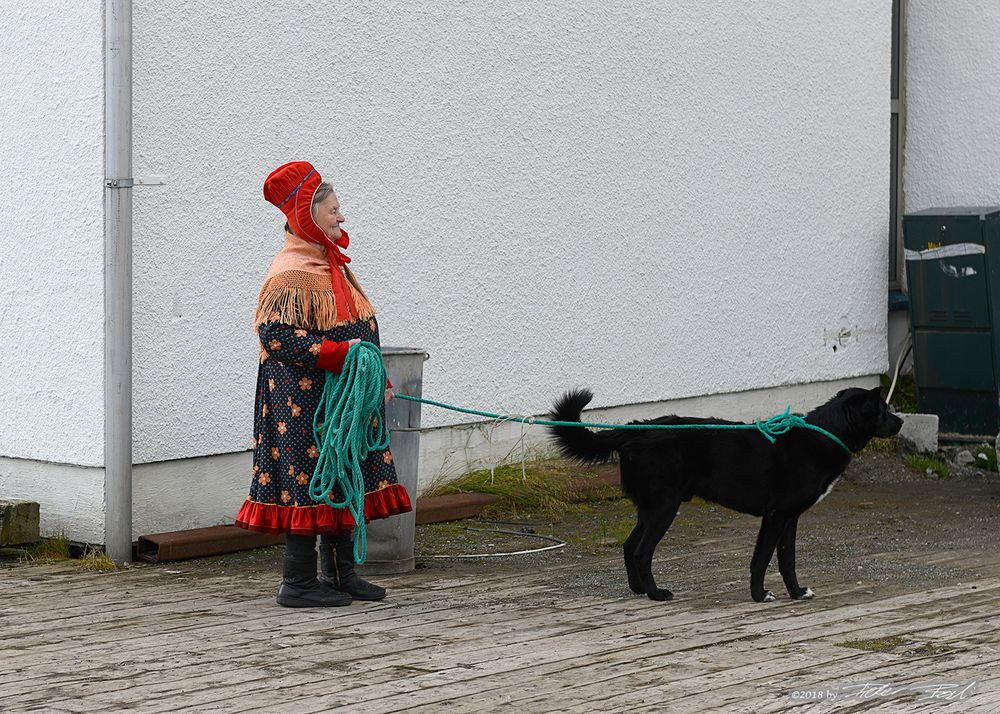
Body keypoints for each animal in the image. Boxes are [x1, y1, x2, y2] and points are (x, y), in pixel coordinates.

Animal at [552, 390, 904, 600]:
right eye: (883, 410)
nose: (901, 421)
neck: (824, 434)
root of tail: (634, 431)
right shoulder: (775, 516)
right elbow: (761, 559)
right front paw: (760, 595)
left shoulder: (789, 518)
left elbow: (787, 560)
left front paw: (796, 592)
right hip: (664, 507)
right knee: (640, 551)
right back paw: (656, 593)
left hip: (652, 507)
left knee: (628, 546)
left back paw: (638, 590)